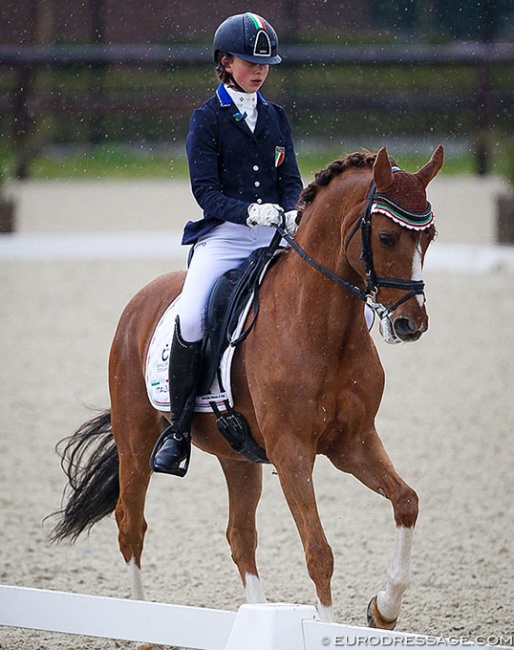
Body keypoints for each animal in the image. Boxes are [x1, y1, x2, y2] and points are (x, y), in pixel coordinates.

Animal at [51, 146, 444, 628]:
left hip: (237, 457)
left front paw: (383, 609)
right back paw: (143, 627)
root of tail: (141, 300)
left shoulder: (354, 442)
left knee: (240, 536)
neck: (321, 328)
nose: (411, 324)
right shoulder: (291, 451)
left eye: (430, 237)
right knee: (131, 524)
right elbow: (319, 552)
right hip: (136, 440)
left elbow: (406, 501)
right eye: (387, 237)